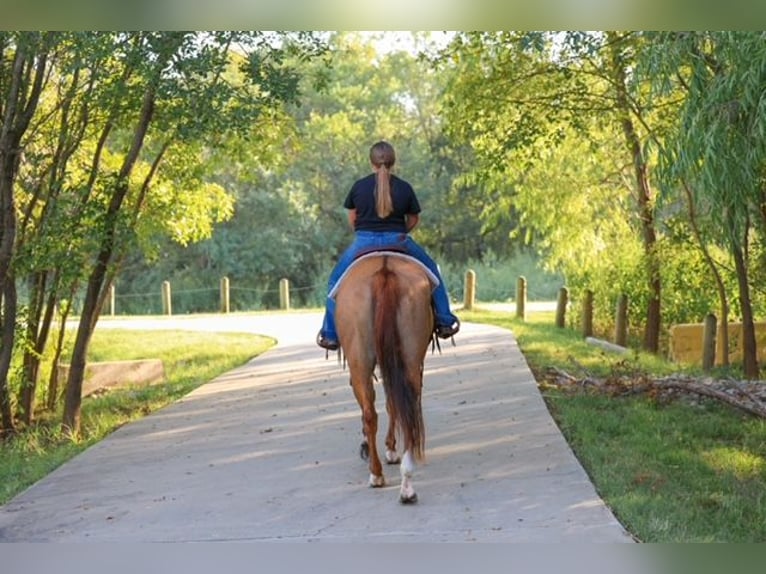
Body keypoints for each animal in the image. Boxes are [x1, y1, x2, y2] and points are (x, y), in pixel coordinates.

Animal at [333, 252, 436, 504]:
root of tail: (384, 270)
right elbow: (393, 404)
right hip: (409, 357)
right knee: (407, 409)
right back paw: (406, 484)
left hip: (360, 362)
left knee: (371, 413)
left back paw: (377, 473)